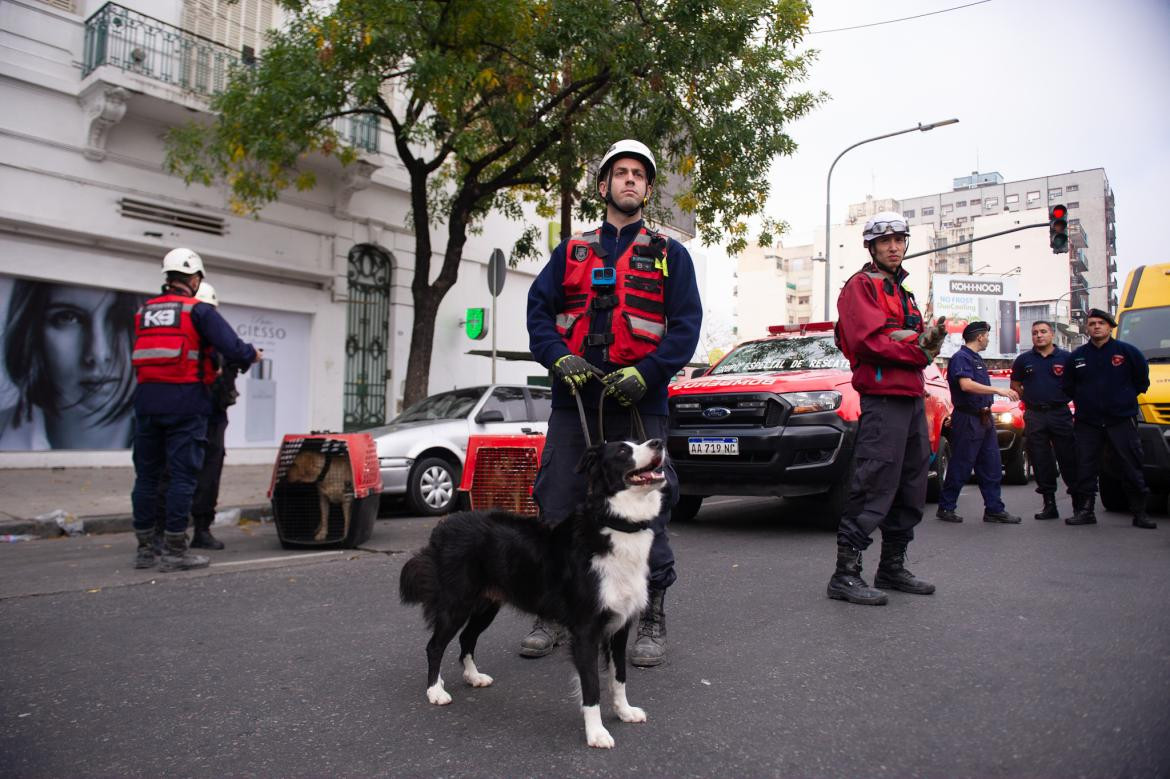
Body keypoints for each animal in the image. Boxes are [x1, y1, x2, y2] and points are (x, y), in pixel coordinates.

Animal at [400, 437, 669, 748]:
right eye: (624, 450)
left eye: (639, 441)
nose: (659, 442)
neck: (614, 523)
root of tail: (443, 526)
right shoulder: (586, 629)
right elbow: (591, 685)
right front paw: (596, 732)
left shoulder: (620, 626)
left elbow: (619, 677)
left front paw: (624, 711)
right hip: (457, 602)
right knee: (435, 646)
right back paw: (435, 690)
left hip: (487, 604)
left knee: (467, 638)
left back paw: (473, 677)